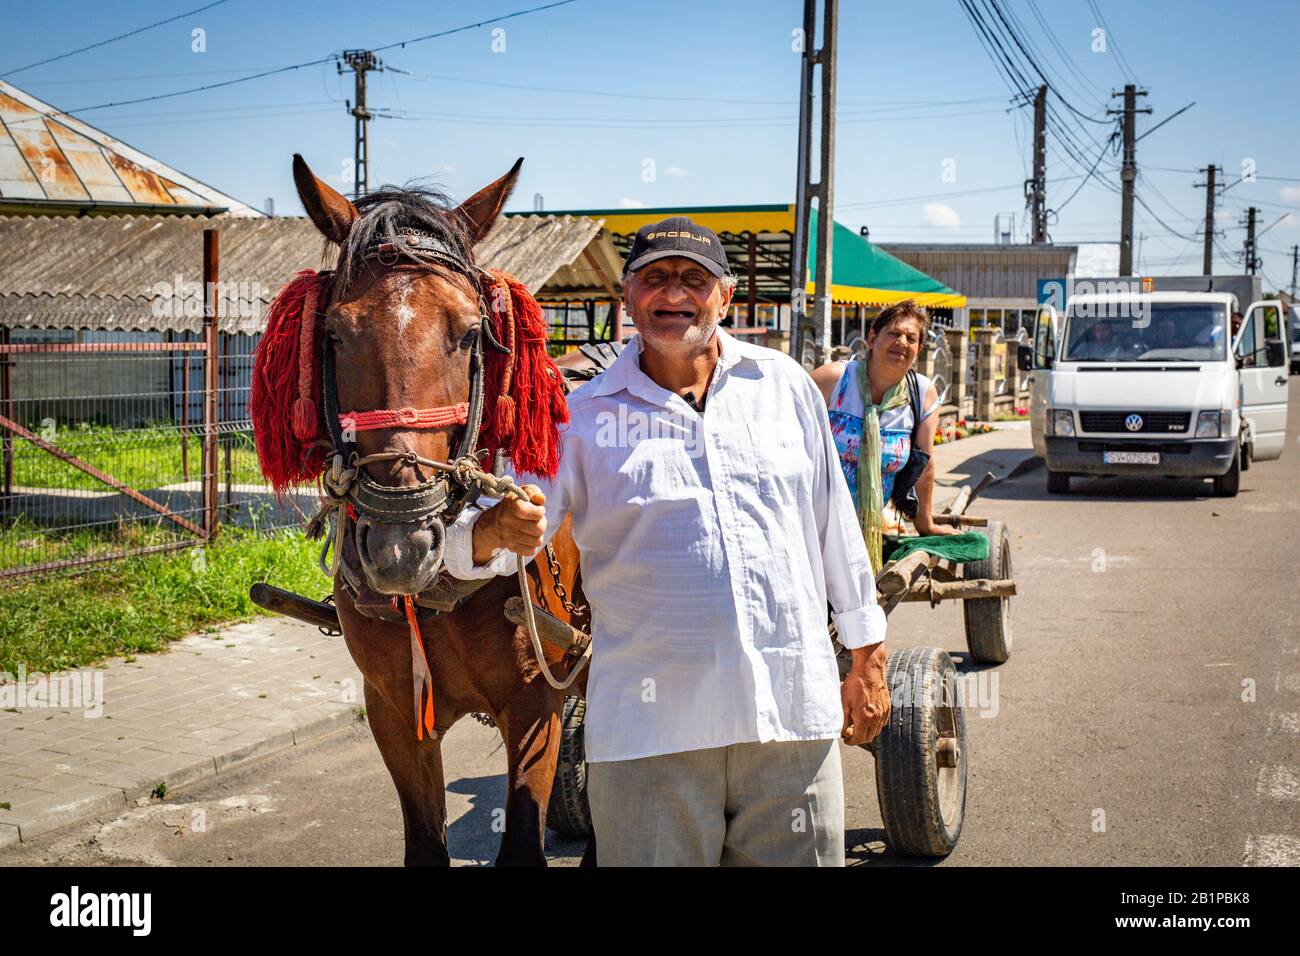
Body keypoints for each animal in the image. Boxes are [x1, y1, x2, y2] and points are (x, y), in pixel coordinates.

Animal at [287, 157, 592, 868]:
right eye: (334, 334)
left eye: (471, 332)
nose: (400, 544)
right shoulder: (394, 709)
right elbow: (425, 846)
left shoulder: (535, 706)